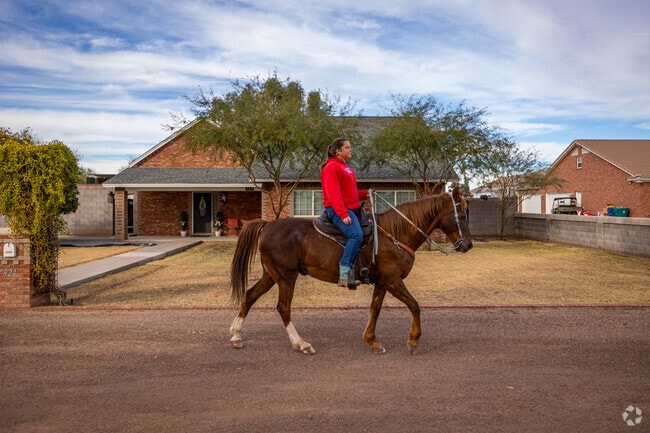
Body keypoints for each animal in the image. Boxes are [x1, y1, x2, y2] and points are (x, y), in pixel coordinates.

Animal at [229, 187, 473, 355]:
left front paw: (372, 340)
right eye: (461, 216)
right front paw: (413, 340)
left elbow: (375, 309)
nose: (468, 245)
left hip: (271, 275)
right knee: (283, 308)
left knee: (249, 296)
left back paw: (236, 335)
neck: (395, 233)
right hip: (286, 277)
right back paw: (301, 344)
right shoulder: (393, 281)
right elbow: (415, 306)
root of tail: (267, 225)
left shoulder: (382, 283)